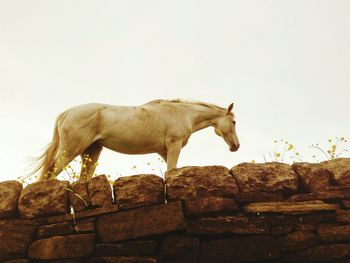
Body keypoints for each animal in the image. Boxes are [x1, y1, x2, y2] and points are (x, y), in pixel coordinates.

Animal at [34, 99, 239, 182]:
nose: (236, 146)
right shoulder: (174, 146)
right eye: (234, 122)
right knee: (49, 174)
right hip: (70, 150)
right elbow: (171, 171)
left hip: (91, 152)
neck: (183, 114)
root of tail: (66, 113)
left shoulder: (164, 151)